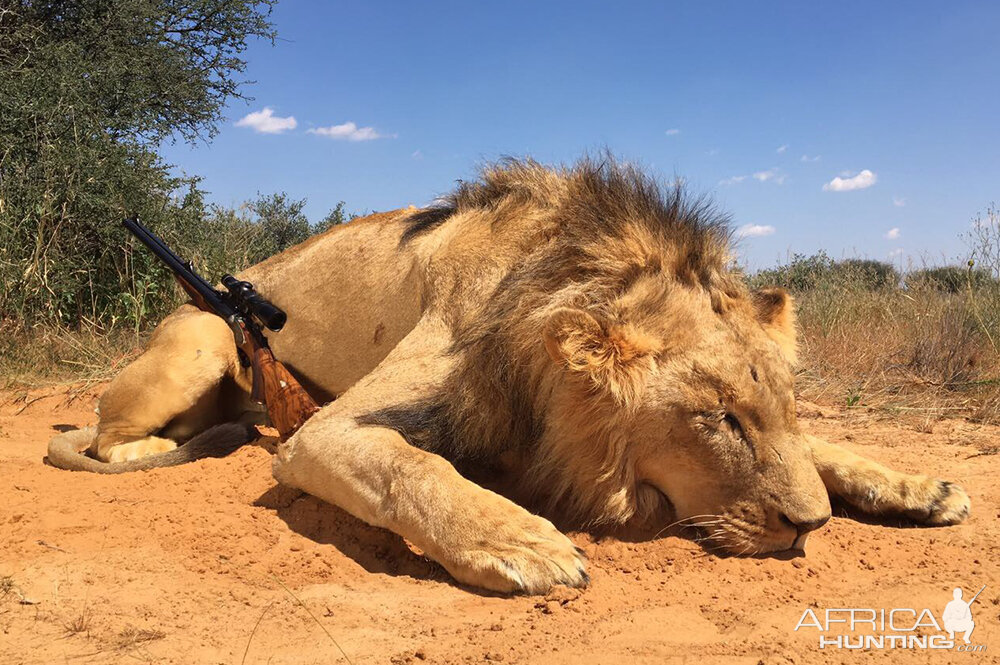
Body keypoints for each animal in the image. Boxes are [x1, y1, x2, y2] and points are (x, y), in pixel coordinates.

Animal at [47, 157, 968, 592]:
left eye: (782, 409)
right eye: (720, 419)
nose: (812, 528)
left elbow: (833, 450)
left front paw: (919, 486)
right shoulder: (322, 431)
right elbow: (412, 468)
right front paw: (523, 542)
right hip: (203, 334)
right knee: (98, 437)